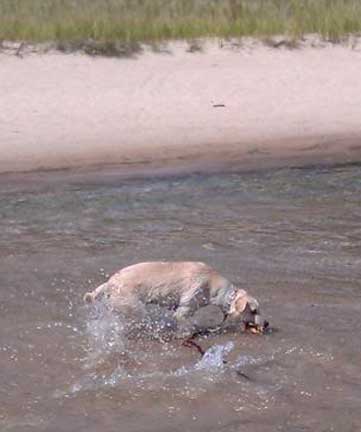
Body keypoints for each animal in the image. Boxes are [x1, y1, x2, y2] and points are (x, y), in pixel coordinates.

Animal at [83, 260, 266, 338]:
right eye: (254, 310)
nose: (267, 324)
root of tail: (109, 283)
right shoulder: (184, 310)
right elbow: (186, 325)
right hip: (135, 309)